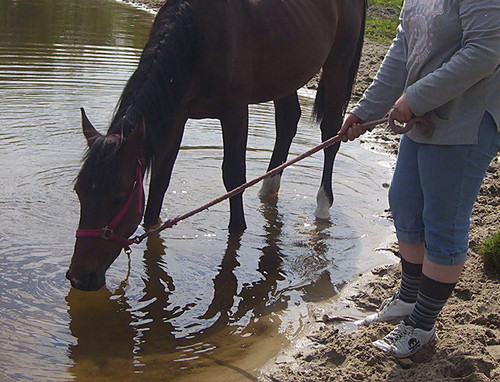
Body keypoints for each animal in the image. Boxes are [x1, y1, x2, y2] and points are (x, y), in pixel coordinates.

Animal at [66, 0, 368, 290]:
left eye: (118, 198)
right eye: (79, 191)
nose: (80, 277)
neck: (197, 35)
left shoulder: (234, 111)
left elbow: (233, 176)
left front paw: (238, 231)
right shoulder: (177, 115)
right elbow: (161, 179)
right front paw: (152, 228)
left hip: (338, 62)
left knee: (331, 132)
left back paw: (323, 204)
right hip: (287, 72)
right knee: (287, 121)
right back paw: (268, 186)